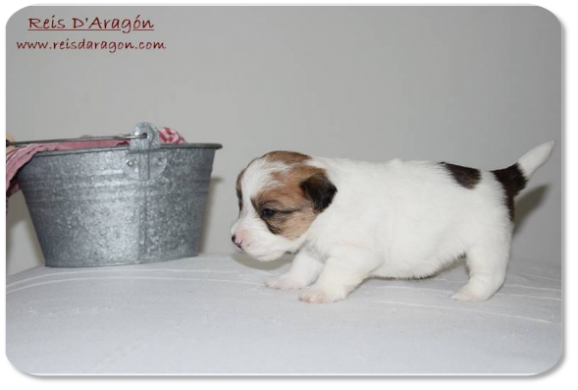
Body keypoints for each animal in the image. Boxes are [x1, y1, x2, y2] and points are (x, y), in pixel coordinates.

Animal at [230, 143, 552, 304]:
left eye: (268, 212)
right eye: (240, 203)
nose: (235, 239)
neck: (329, 210)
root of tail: (499, 178)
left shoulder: (355, 252)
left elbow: (333, 273)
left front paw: (320, 291)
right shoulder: (314, 246)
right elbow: (301, 266)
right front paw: (286, 281)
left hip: (486, 244)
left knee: (490, 275)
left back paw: (470, 295)